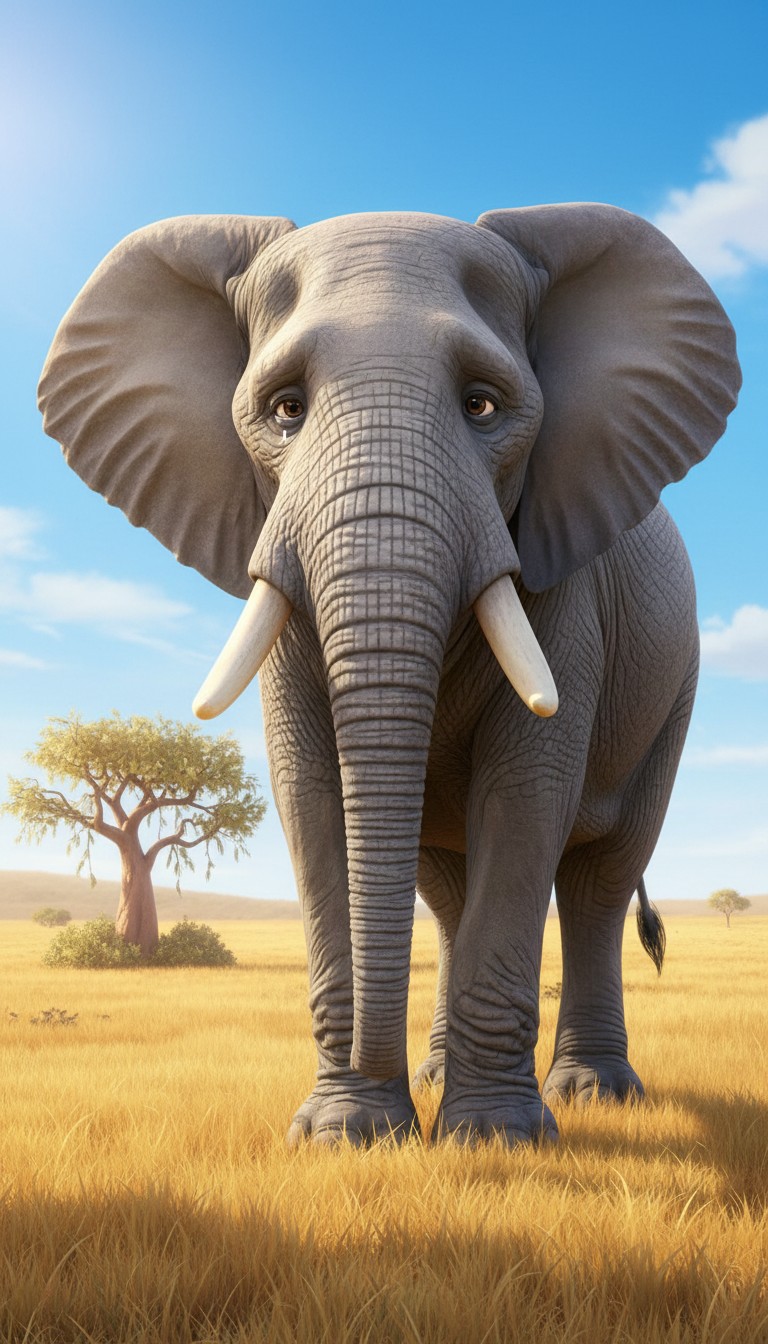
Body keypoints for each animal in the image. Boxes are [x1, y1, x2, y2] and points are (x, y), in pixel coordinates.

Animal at [38, 205, 740, 1146]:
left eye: (483, 405)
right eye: (285, 410)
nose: (381, 1085)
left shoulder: (563, 589)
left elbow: (526, 794)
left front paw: (493, 1142)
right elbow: (311, 796)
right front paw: (345, 1136)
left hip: (676, 685)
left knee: (600, 877)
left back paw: (592, 1094)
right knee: (446, 888)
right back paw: (447, 1076)